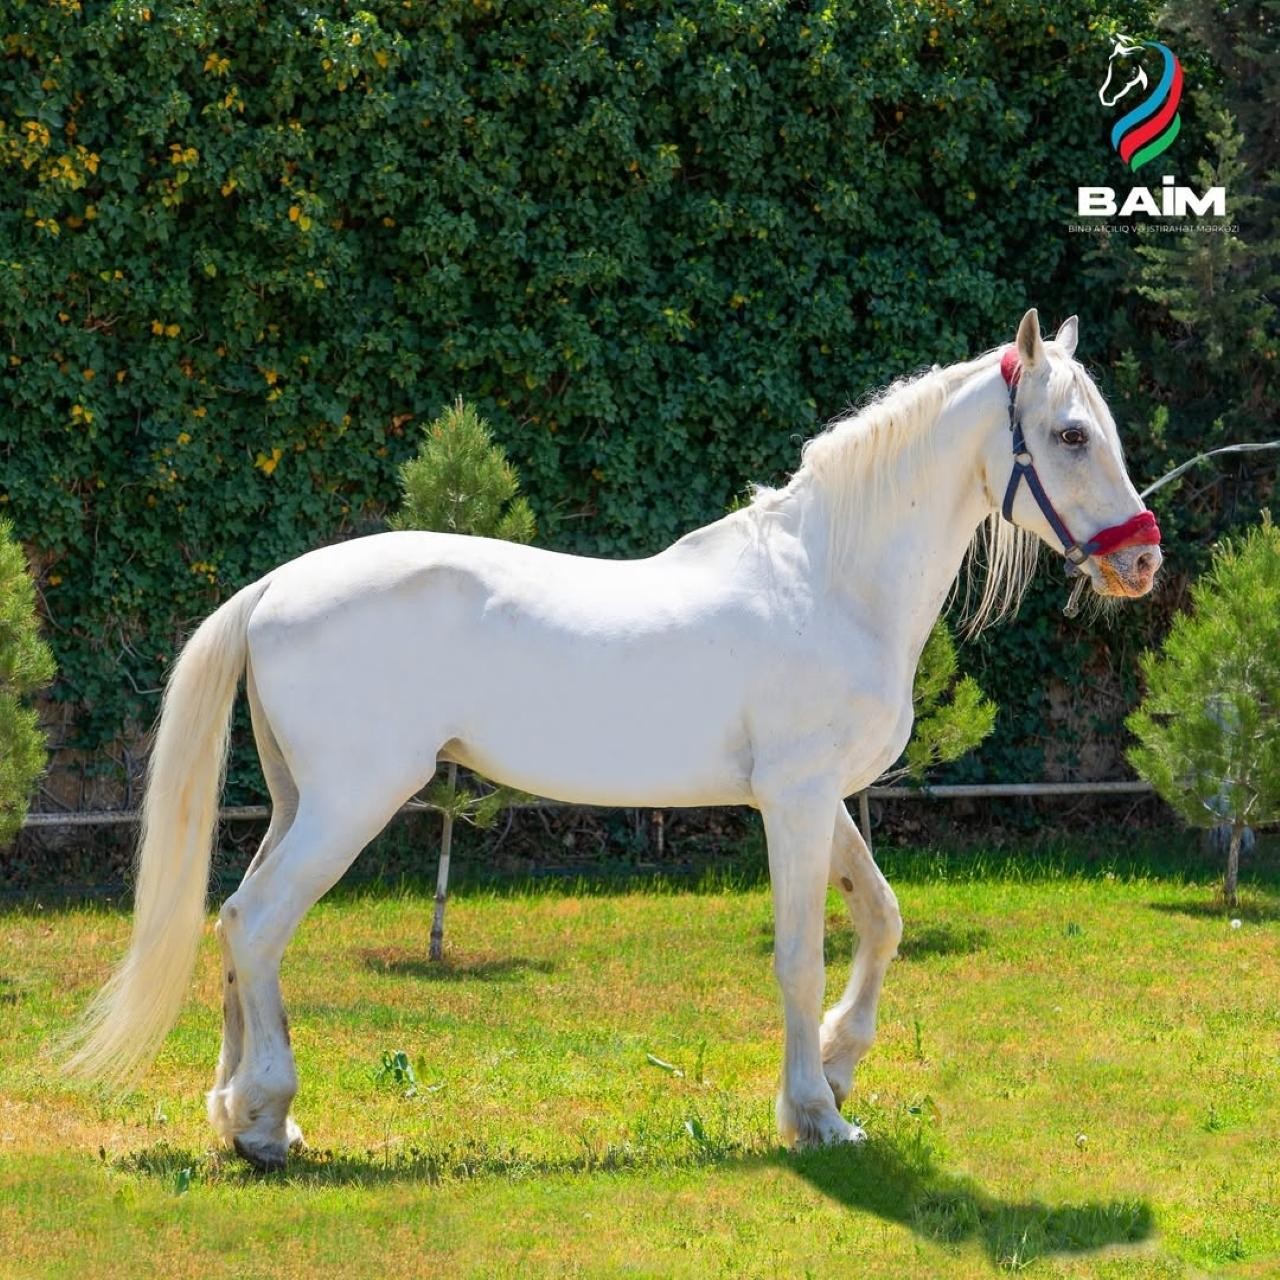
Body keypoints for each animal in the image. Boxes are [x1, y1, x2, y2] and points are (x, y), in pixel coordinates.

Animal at [64, 309, 1162, 1169]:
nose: (1142, 559)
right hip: (350, 802)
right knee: (257, 924)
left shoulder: (810, 798)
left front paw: (841, 1066)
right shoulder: (799, 802)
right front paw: (813, 1116)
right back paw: (265, 1122)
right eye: (1069, 434)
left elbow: (882, 919)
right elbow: (800, 956)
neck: (826, 579)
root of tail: (270, 589)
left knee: (234, 921)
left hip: (297, 801)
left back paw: (240, 1115)